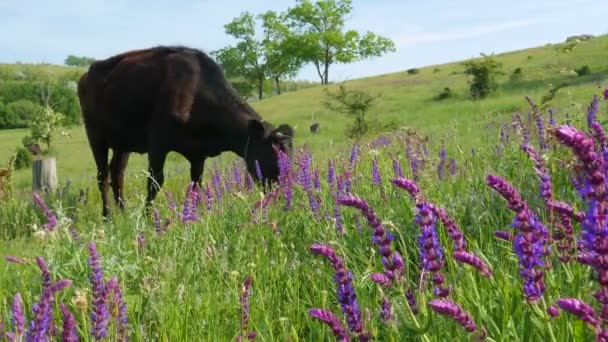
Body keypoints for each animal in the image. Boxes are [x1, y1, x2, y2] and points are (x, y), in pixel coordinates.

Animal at [78, 46, 294, 216]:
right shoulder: (157, 142)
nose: (282, 193)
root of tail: (88, 73)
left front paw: (193, 215)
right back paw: (108, 216)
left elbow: (196, 184)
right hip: (95, 136)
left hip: (123, 142)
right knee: (103, 176)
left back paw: (122, 213)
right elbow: (155, 181)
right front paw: (147, 217)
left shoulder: (198, 154)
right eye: (273, 156)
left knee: (117, 174)